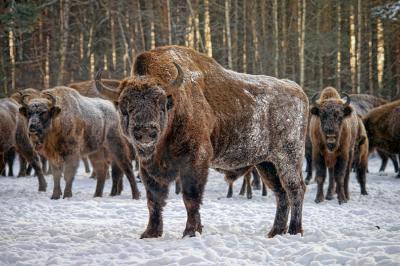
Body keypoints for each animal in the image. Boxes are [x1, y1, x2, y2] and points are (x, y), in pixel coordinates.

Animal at [95, 45, 308, 239]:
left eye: (161, 103)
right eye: (125, 106)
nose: (146, 131)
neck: (176, 105)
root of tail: (298, 90)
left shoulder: (196, 159)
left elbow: (191, 197)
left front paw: (190, 231)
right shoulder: (148, 166)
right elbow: (154, 199)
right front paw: (150, 233)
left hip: (288, 157)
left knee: (295, 189)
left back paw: (294, 231)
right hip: (266, 163)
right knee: (280, 193)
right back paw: (275, 232)